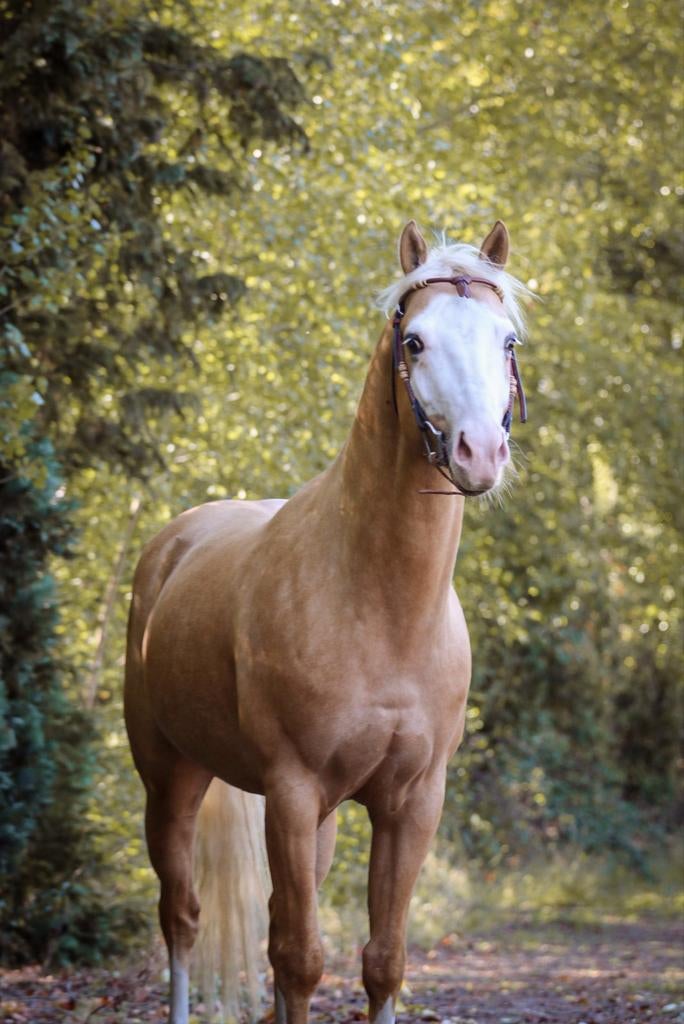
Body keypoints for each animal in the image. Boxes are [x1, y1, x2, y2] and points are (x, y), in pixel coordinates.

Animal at [124, 218, 529, 1024]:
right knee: (182, 918)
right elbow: (301, 959)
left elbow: (381, 961)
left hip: (318, 817)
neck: (382, 606)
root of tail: (173, 544)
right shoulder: (292, 788)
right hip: (171, 778)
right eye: (416, 341)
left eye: (506, 340)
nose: (479, 452)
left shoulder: (410, 803)